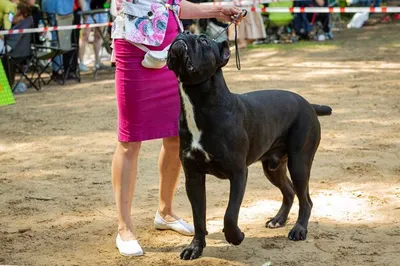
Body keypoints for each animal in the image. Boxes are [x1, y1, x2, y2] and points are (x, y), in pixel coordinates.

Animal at [166, 30, 332, 260]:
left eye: (204, 41)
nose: (185, 32)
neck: (199, 104)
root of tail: (309, 104)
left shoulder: (238, 173)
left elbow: (229, 214)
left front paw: (236, 237)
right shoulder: (194, 177)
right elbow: (199, 217)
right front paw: (195, 248)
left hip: (299, 163)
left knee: (305, 199)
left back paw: (299, 229)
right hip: (273, 167)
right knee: (289, 192)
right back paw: (278, 220)